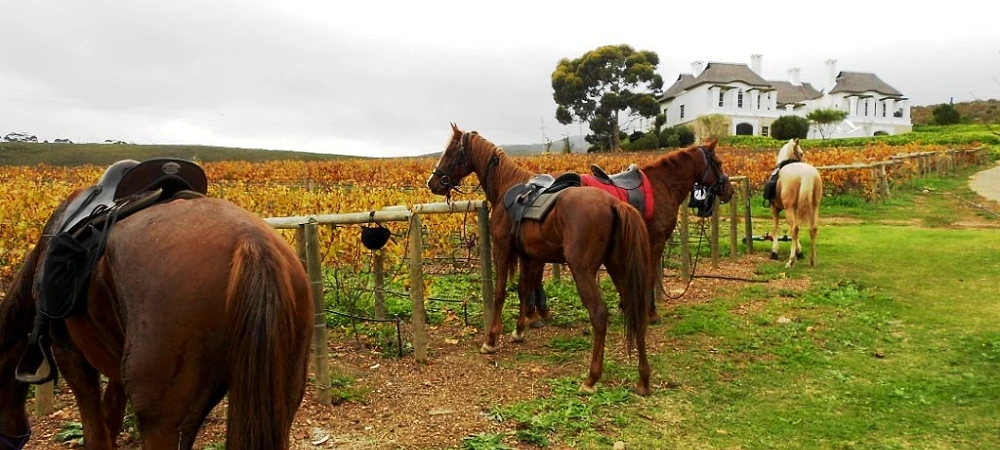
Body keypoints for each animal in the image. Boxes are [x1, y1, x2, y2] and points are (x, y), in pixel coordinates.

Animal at [0, 191, 313, 449]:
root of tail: (251, 242)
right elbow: (111, 418)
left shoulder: (69, 355)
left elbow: (96, 432)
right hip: (282, 398)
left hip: (158, 416)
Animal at [426, 123, 654, 395]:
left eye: (451, 151)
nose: (433, 182)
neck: (507, 186)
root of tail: (614, 204)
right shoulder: (529, 256)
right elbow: (524, 290)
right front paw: (519, 330)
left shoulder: (502, 250)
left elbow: (501, 292)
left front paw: (491, 340)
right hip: (618, 267)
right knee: (635, 308)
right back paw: (643, 380)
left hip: (583, 270)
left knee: (599, 314)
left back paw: (591, 378)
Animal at [767, 138, 823, 267]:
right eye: (801, 153)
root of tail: (808, 174)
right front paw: (799, 252)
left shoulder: (774, 209)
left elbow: (776, 228)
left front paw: (774, 252)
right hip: (815, 207)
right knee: (813, 228)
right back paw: (812, 260)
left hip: (788, 209)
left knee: (795, 228)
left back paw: (790, 261)